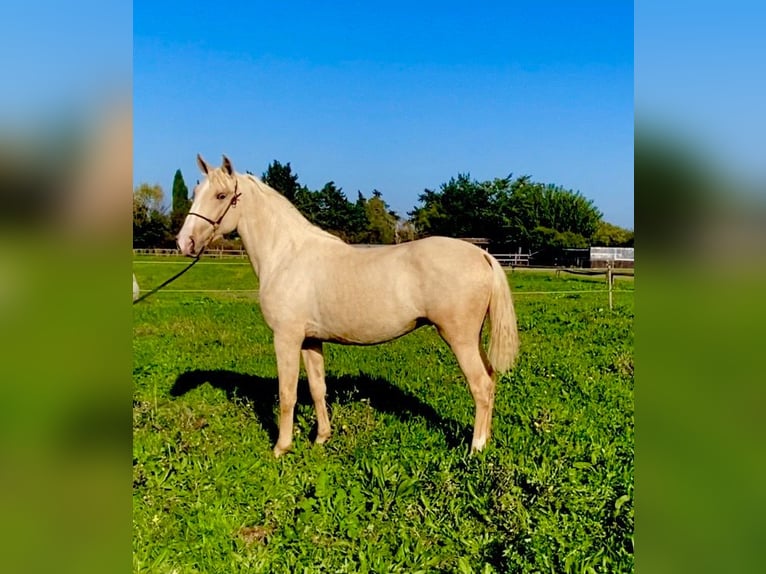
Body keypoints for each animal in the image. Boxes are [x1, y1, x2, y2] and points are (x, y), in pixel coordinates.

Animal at [177, 154, 520, 460]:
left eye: (221, 195)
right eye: (196, 192)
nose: (185, 243)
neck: (286, 254)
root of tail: (482, 255)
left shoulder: (286, 338)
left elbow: (287, 394)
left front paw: (281, 448)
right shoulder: (310, 340)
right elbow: (317, 388)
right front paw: (321, 438)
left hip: (459, 338)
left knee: (480, 386)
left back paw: (475, 449)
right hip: (472, 339)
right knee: (491, 380)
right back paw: (485, 441)